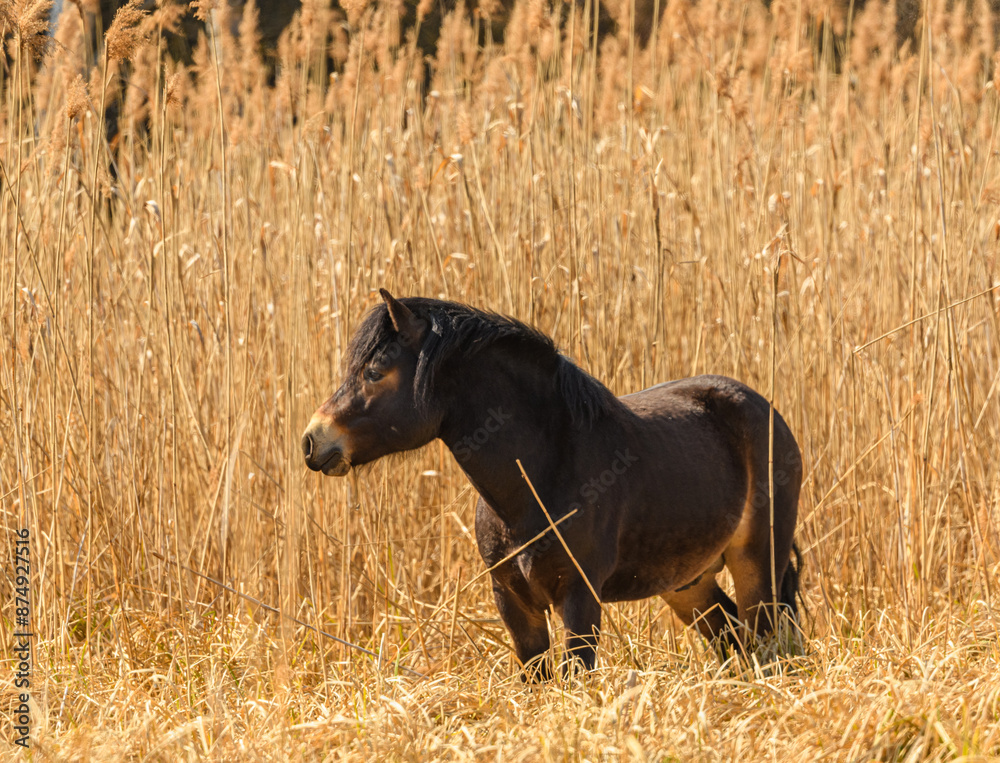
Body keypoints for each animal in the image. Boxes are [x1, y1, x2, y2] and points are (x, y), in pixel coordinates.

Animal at [302, 289, 803, 678]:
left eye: (374, 372)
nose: (312, 440)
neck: (539, 478)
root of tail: (763, 409)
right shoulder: (513, 602)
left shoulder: (579, 598)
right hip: (688, 582)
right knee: (732, 639)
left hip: (758, 561)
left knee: (763, 641)